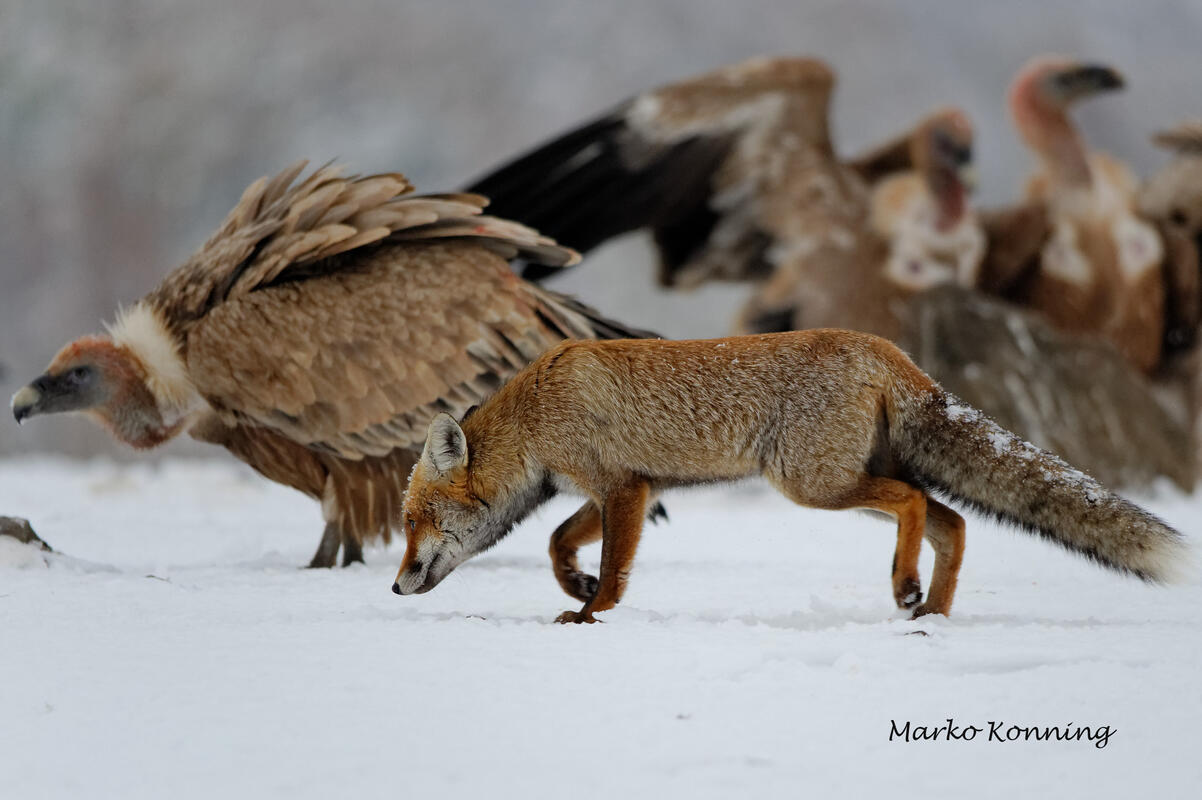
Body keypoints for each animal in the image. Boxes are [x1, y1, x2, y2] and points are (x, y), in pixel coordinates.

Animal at [391, 329, 1186, 623]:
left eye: (410, 523)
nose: (395, 586)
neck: (536, 412)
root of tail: (886, 349)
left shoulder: (622, 489)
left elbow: (611, 566)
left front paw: (592, 614)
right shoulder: (634, 487)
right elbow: (559, 543)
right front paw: (577, 587)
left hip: (813, 486)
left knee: (915, 505)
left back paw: (906, 587)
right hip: (842, 485)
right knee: (952, 521)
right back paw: (931, 612)